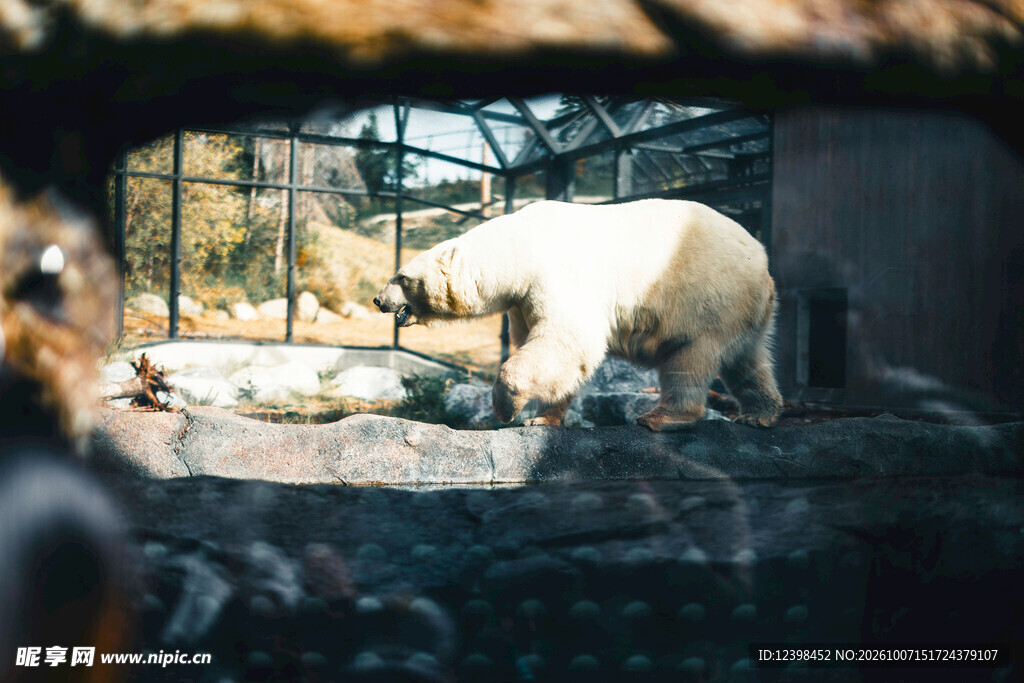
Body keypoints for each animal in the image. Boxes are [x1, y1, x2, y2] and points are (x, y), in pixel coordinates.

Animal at [373, 199, 783, 430]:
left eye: (401, 277)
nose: (379, 300)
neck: (519, 246)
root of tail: (763, 260)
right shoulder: (522, 300)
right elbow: (552, 353)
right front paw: (544, 418)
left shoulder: (558, 274)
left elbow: (566, 339)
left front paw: (506, 409)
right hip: (744, 310)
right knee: (749, 360)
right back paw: (759, 413)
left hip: (706, 298)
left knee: (689, 358)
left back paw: (662, 417)